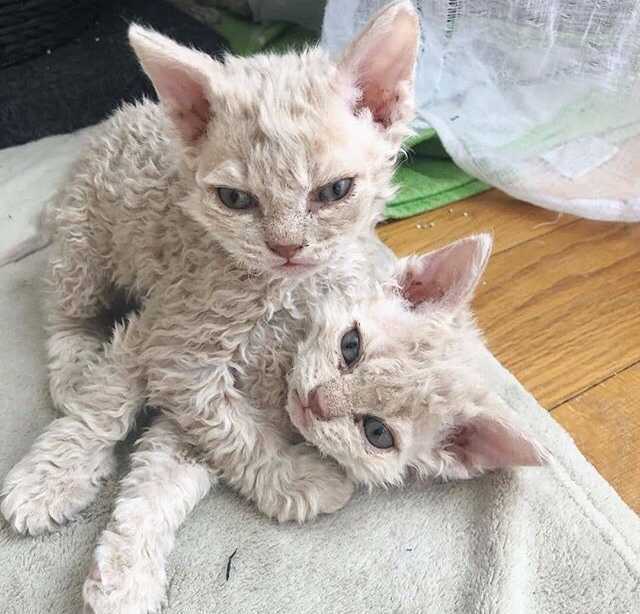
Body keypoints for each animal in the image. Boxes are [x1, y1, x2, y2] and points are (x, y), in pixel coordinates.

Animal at [3, 1, 420, 536]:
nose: (286, 246)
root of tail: (115, 120)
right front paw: (294, 480)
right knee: (66, 313)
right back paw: (75, 370)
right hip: (84, 245)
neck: (282, 289)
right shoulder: (177, 345)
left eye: (334, 191)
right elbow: (230, 429)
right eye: (235, 199)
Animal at [81, 236, 544, 614]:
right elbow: (110, 398)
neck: (276, 382)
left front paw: (124, 578)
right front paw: (62, 483)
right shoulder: (179, 338)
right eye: (350, 345)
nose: (317, 401)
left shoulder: (196, 430)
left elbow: (156, 493)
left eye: (377, 433)